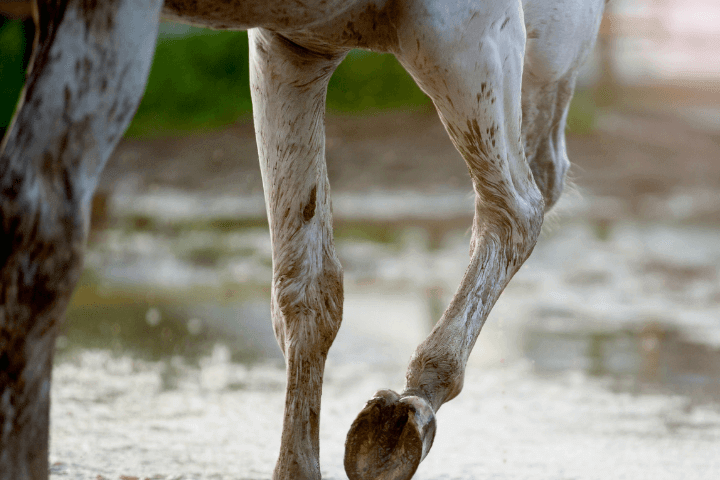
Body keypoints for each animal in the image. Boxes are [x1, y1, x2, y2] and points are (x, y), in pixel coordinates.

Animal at [0, 0, 606, 478]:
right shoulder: (290, 46)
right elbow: (308, 290)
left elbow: (39, 225)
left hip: (464, 38)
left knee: (519, 205)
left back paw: (410, 408)